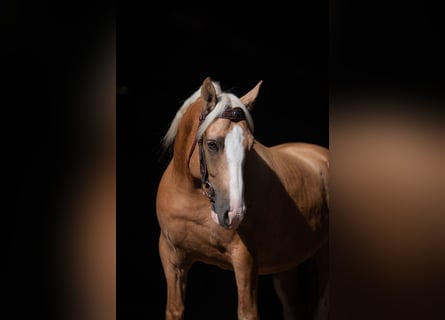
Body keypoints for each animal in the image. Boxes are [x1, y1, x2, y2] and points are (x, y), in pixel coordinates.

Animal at [154, 78, 328, 320]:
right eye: (212, 144)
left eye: (250, 146)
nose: (234, 213)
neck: (191, 196)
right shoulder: (172, 257)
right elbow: (174, 309)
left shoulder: (245, 260)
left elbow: (247, 313)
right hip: (286, 266)